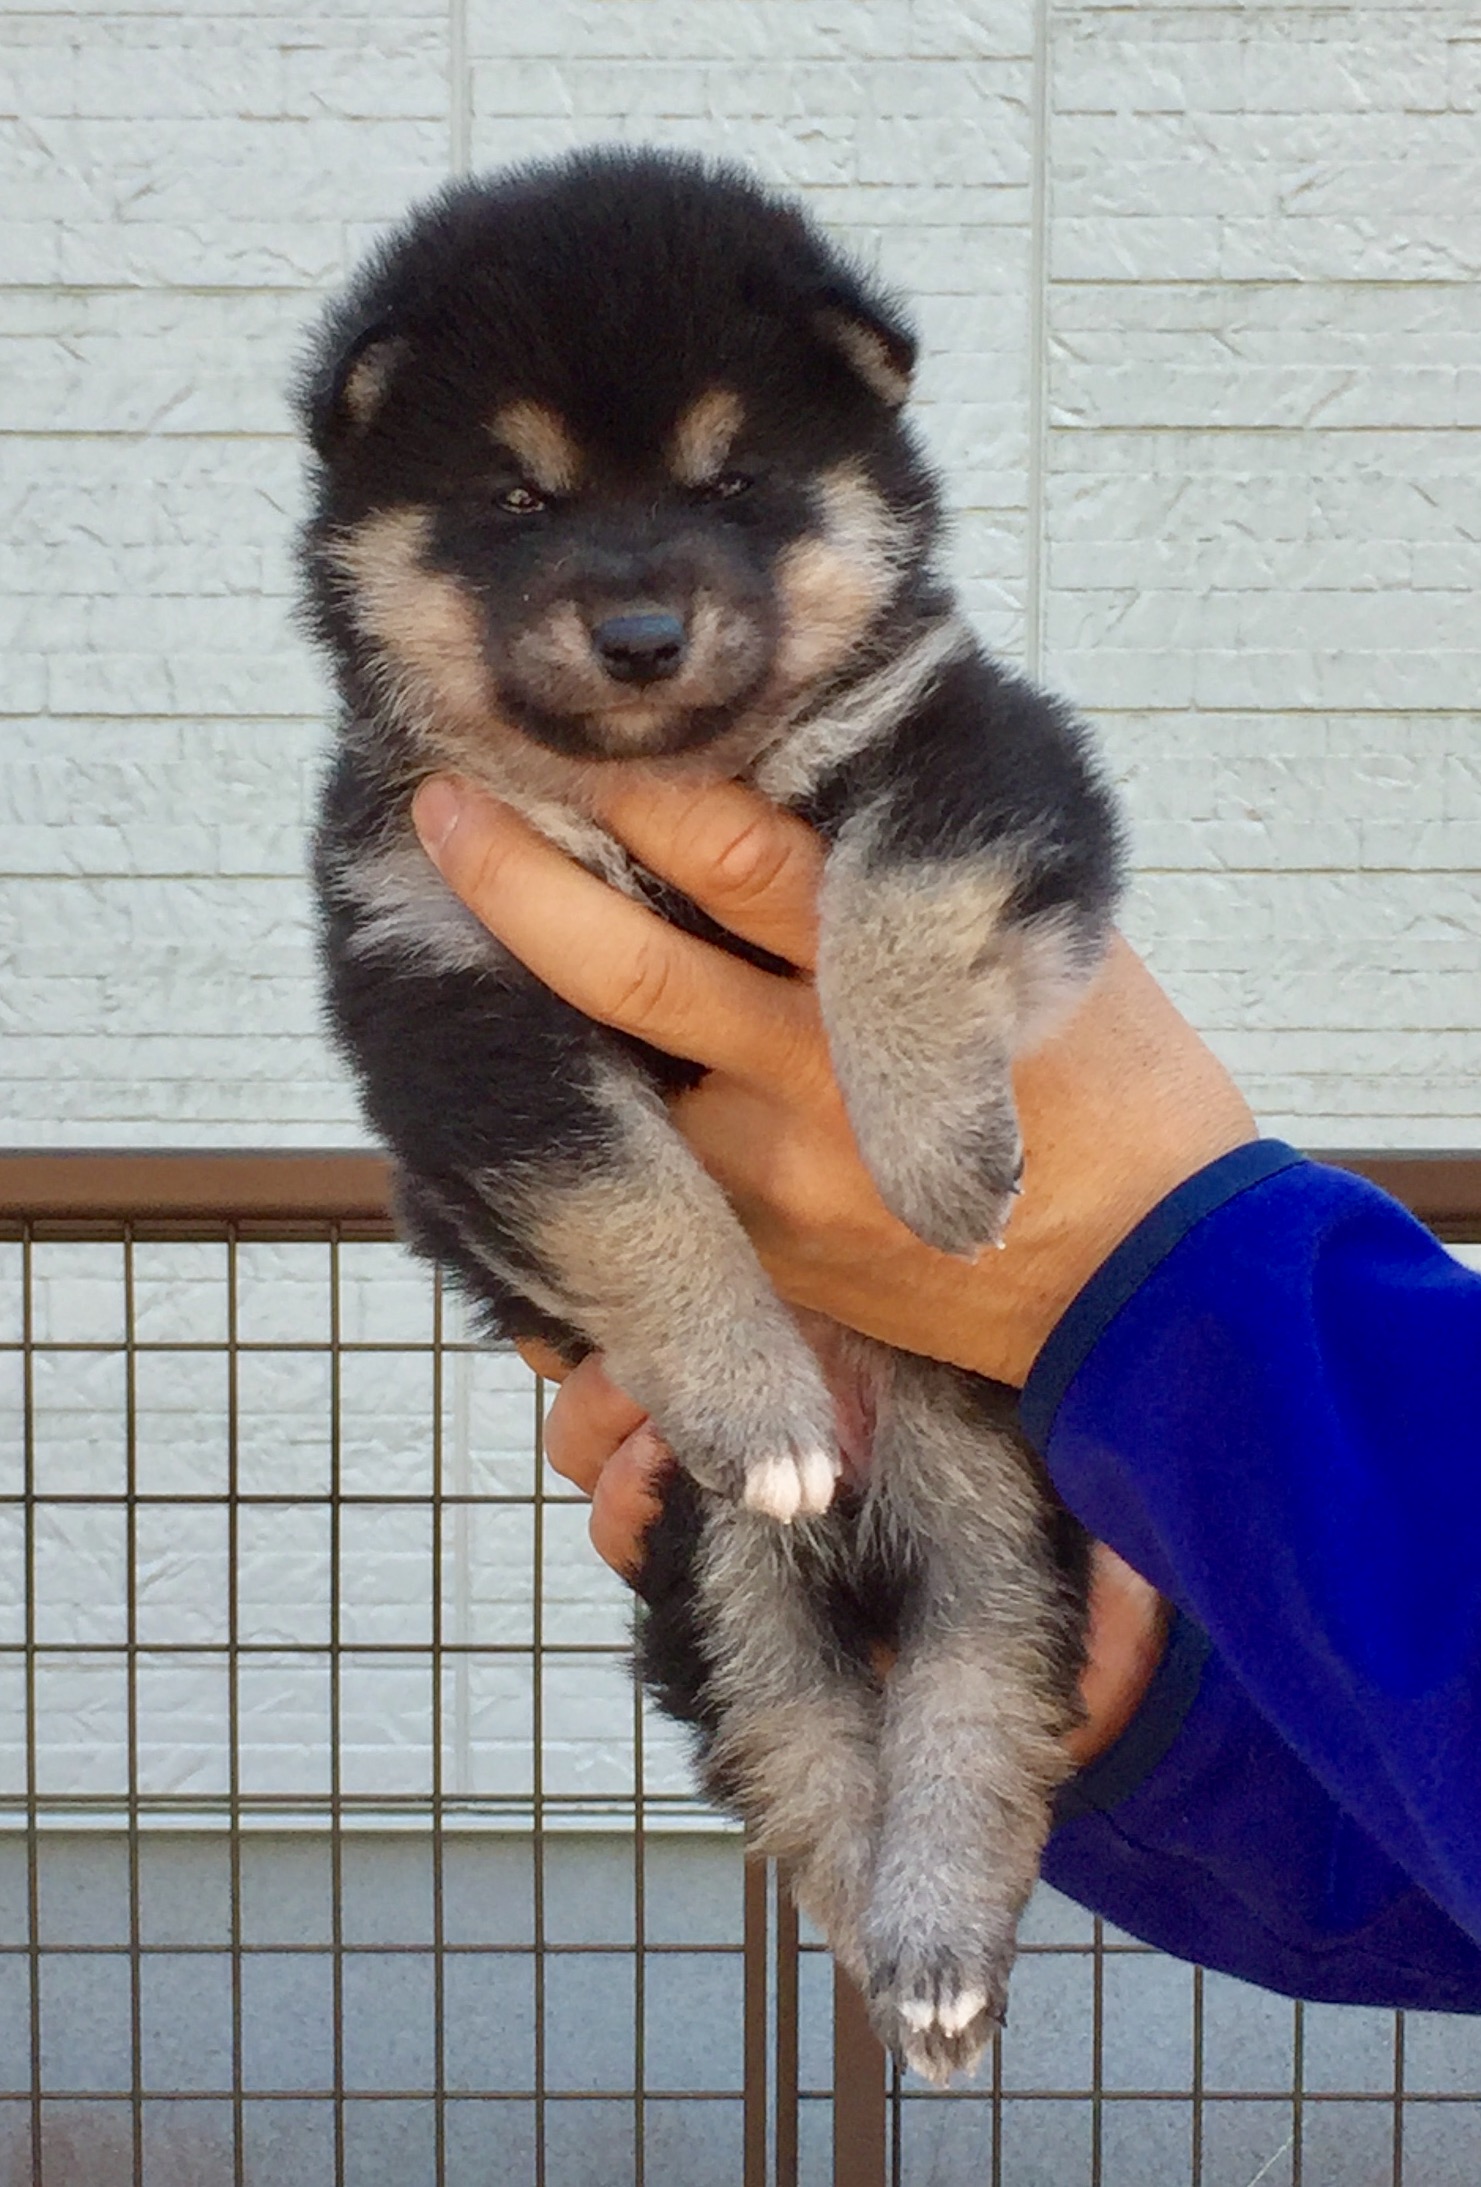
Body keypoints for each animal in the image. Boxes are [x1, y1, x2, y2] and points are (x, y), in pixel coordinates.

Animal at [295, 146, 1123, 2082]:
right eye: (515, 496)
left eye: (735, 479)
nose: (641, 633)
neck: (645, 788)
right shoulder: (440, 970)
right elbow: (629, 1188)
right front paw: (751, 1383)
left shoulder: (970, 748)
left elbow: (893, 897)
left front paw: (935, 1153)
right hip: (716, 1558)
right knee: (807, 1763)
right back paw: (908, 1961)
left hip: (999, 1492)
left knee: (980, 1692)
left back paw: (938, 1951)